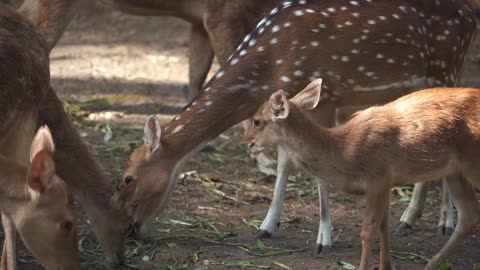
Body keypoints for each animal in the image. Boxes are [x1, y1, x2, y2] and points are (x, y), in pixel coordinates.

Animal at [242, 80, 480, 270]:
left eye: (257, 120)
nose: (247, 142)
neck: (345, 150)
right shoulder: (386, 183)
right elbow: (383, 226)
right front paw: (386, 266)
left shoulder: (378, 177)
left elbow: (368, 230)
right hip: (455, 171)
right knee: (469, 216)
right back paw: (431, 265)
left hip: (472, 164)